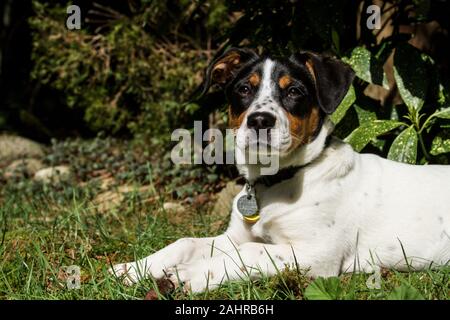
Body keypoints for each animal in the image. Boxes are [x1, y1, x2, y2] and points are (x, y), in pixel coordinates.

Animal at [110, 47, 450, 292]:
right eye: (244, 89)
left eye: (295, 91)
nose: (260, 120)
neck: (277, 181)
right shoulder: (235, 236)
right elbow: (186, 242)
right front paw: (134, 268)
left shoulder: (315, 254)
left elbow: (250, 253)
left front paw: (188, 274)